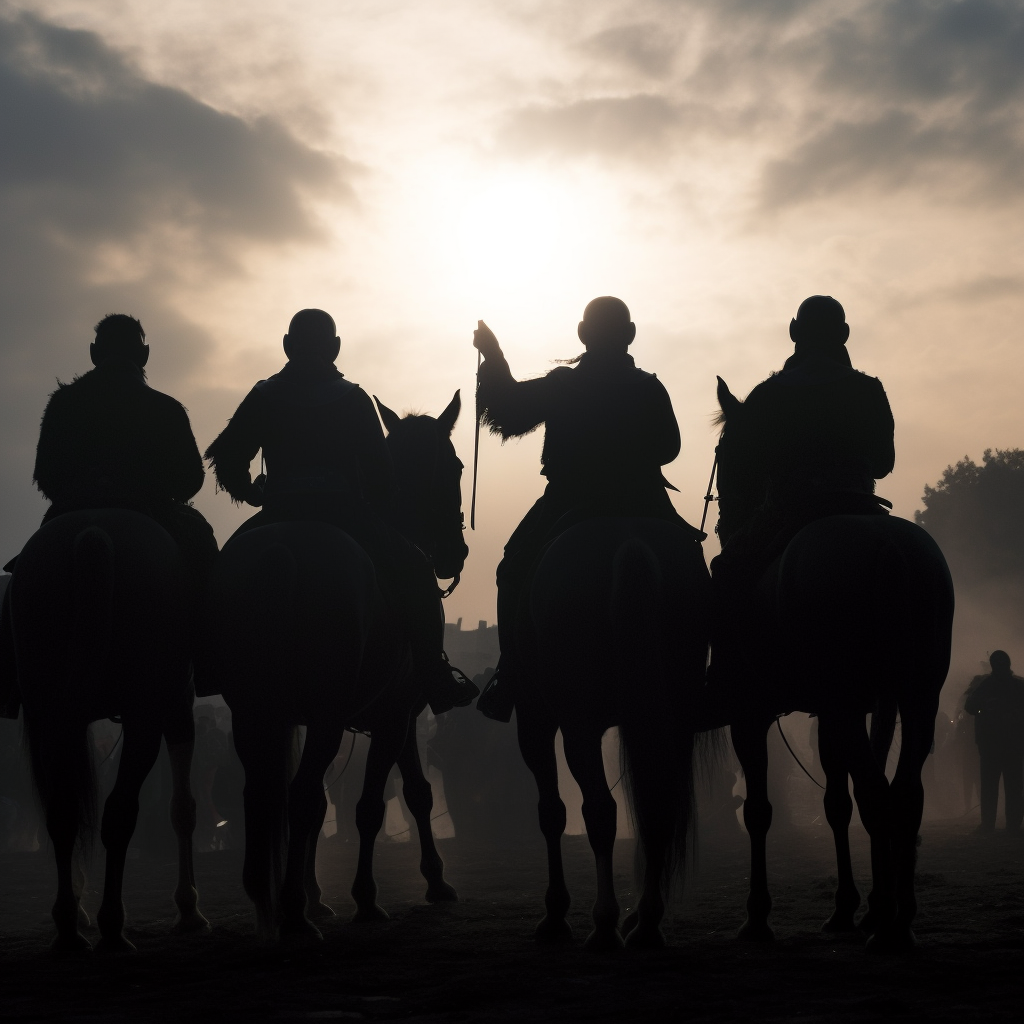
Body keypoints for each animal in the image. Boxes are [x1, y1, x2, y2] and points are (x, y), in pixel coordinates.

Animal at [9, 509, 208, 950]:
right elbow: (182, 808)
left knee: (63, 812)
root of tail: (94, 532)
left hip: (50, 709)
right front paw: (189, 910)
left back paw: (69, 927)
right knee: (119, 814)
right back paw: (112, 927)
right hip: (145, 715)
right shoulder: (177, 705)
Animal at [207, 395, 468, 937]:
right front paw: (369, 897)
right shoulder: (396, 716)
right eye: (455, 466)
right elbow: (377, 805)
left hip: (251, 714)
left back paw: (269, 898)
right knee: (303, 796)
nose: (455, 554)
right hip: (327, 717)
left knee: (268, 797)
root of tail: (282, 554)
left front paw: (319, 895)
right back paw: (292, 913)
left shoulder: (378, 718)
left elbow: (408, 793)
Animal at [516, 516, 708, 946]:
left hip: (577, 724)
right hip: (676, 714)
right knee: (661, 802)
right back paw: (646, 923)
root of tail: (627, 539)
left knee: (600, 810)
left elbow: (552, 812)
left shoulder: (535, 722)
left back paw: (604, 924)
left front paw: (555, 914)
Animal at [712, 380, 950, 946]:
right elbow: (837, 804)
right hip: (918, 697)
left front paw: (757, 917)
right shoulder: (848, 707)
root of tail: (893, 552)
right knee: (903, 796)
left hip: (847, 702)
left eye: (726, 454)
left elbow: (759, 810)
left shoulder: (752, 712)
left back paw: (888, 930)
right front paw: (850, 908)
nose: (727, 521)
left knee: (878, 795)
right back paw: (898, 918)